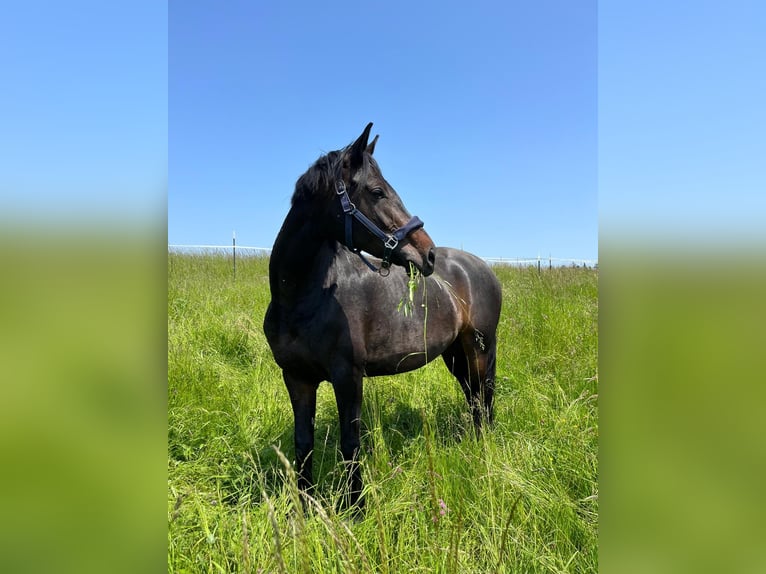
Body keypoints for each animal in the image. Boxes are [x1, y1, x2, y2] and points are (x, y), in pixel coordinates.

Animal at [264, 122, 504, 508]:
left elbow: (350, 446)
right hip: (455, 354)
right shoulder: (297, 378)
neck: (300, 298)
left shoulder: (348, 377)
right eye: (377, 192)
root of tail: (482, 268)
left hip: (480, 348)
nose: (428, 253)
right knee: (473, 397)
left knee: (484, 397)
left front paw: (355, 508)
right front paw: (306, 506)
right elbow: (303, 445)